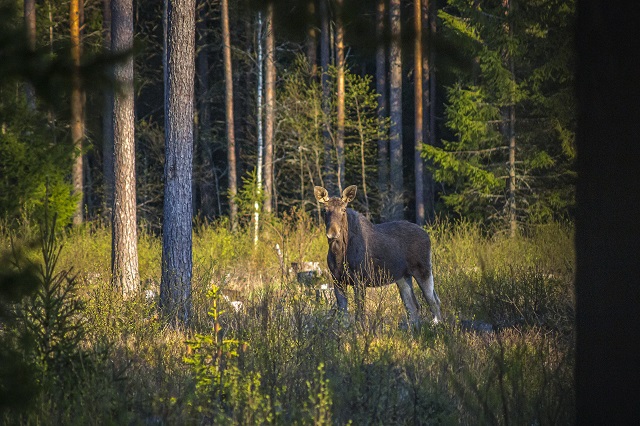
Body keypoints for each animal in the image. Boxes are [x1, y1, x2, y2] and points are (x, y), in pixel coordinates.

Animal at [314, 184, 440, 326]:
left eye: (344, 209)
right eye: (325, 210)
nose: (332, 233)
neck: (339, 253)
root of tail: (427, 235)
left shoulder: (360, 279)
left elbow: (359, 313)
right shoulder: (337, 280)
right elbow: (343, 315)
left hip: (423, 270)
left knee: (434, 302)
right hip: (402, 277)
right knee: (413, 306)